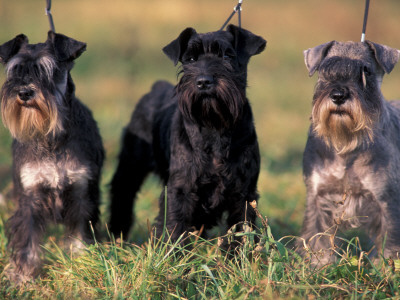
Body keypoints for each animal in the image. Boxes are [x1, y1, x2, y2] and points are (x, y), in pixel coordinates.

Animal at [0, 31, 104, 282]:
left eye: (49, 70)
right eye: (15, 70)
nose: (24, 92)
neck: (51, 138)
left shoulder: (81, 193)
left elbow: (80, 232)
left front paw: (81, 263)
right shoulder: (29, 196)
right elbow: (28, 239)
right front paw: (23, 276)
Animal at [109, 24, 266, 244]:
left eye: (227, 56)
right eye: (191, 59)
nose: (203, 81)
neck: (214, 126)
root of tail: (156, 86)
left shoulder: (243, 193)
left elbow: (241, 231)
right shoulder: (180, 190)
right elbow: (175, 226)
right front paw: (173, 252)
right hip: (131, 165)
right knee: (122, 193)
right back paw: (116, 236)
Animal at [302, 40, 400, 264]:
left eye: (366, 71)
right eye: (324, 70)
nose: (339, 95)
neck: (345, 147)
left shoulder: (387, 202)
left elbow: (389, 245)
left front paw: (385, 268)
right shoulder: (317, 199)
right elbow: (318, 241)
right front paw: (319, 267)